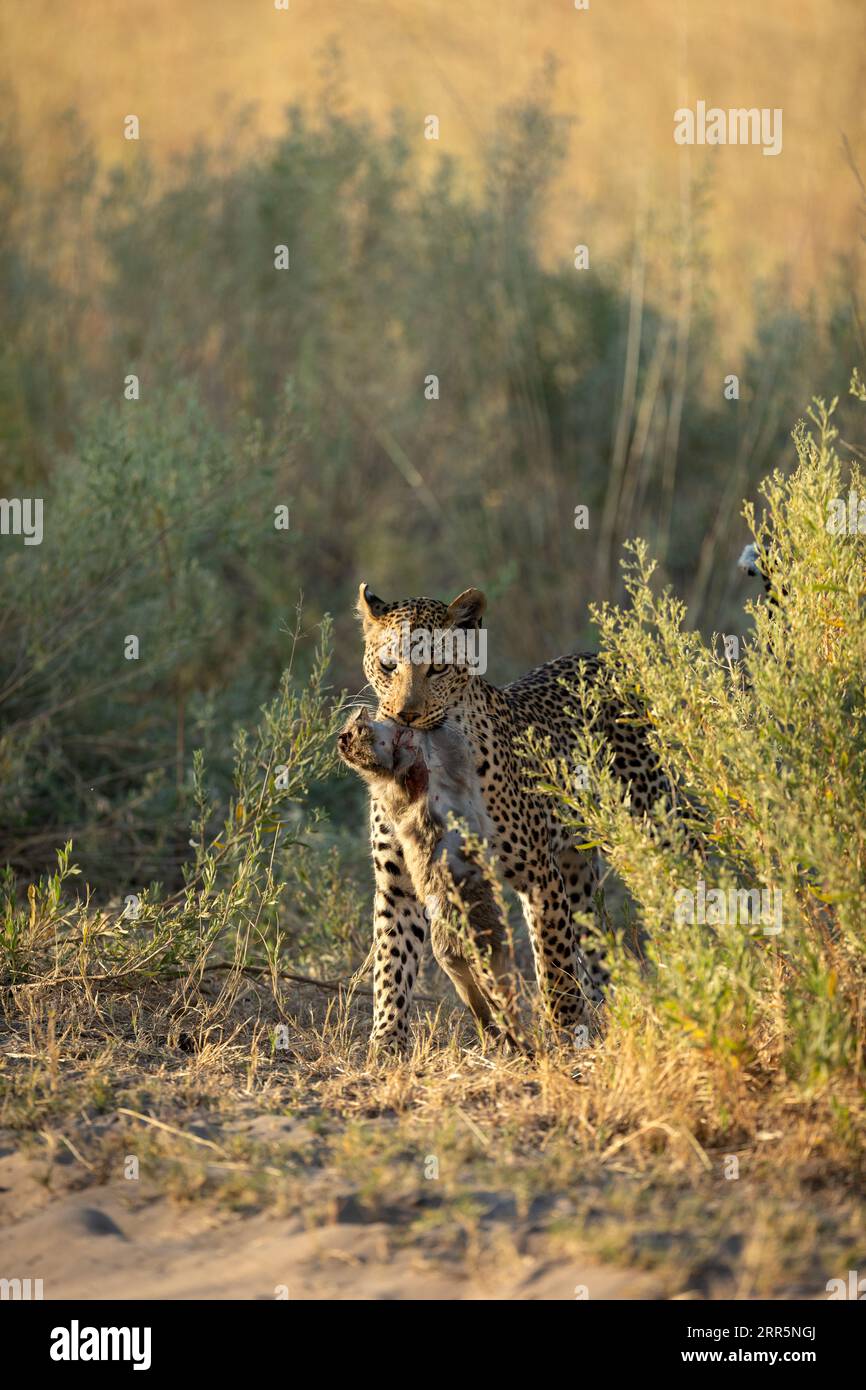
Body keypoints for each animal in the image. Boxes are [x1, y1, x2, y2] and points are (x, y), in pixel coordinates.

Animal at [355, 578, 675, 1050]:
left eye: (437, 668)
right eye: (388, 665)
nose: (405, 715)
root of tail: (611, 659)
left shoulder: (537, 876)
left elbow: (554, 966)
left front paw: (565, 1037)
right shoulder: (398, 882)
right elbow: (392, 961)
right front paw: (386, 1043)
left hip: (653, 828)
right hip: (575, 863)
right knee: (591, 936)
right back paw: (604, 1012)